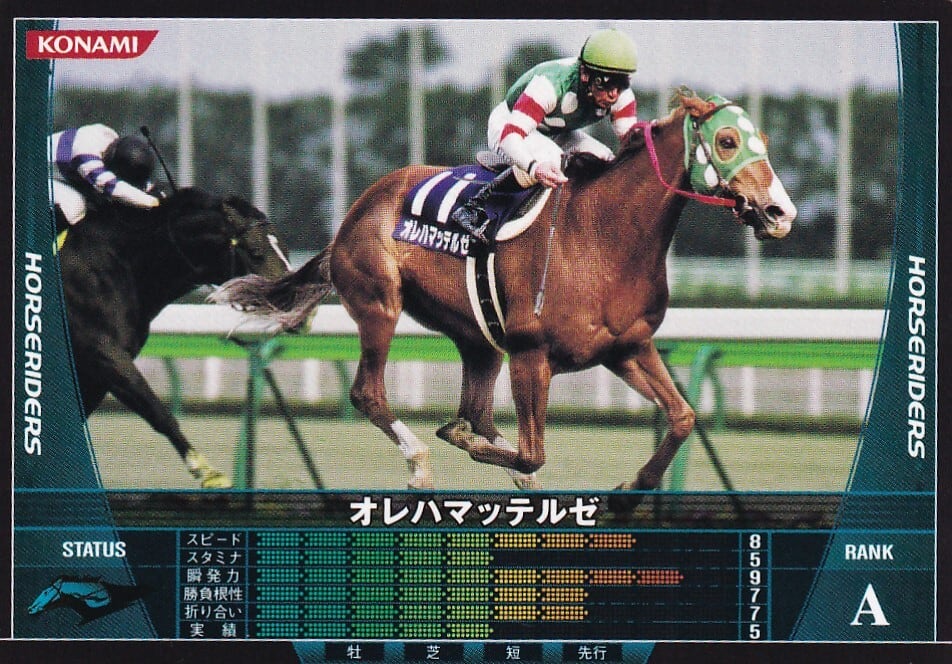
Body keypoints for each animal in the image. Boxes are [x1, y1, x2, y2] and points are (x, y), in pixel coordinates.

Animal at [58, 187, 292, 488]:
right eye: (255, 251)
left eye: (285, 248)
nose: (298, 298)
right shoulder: (102, 351)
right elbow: (159, 412)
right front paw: (208, 472)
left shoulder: (96, 371)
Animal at [213, 89, 796, 501]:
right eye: (727, 141)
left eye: (764, 141)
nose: (780, 212)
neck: (605, 236)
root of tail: (352, 215)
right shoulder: (531, 355)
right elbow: (531, 451)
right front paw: (466, 444)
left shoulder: (627, 348)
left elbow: (682, 417)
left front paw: (632, 487)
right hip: (380, 303)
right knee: (369, 394)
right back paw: (421, 462)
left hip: (478, 340)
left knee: (479, 409)